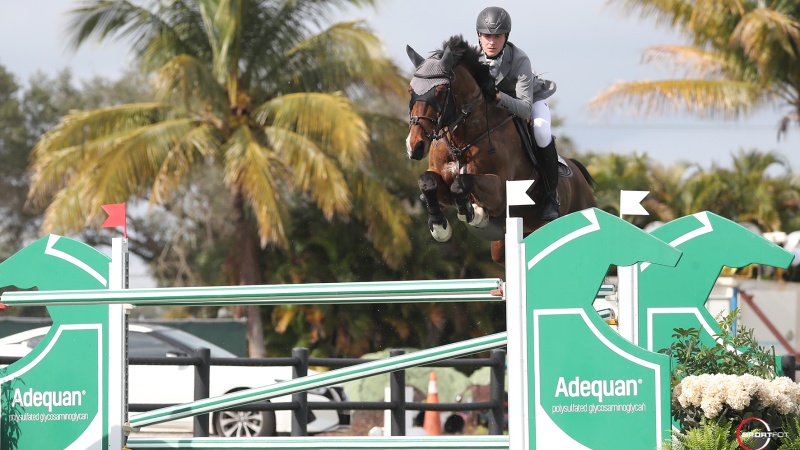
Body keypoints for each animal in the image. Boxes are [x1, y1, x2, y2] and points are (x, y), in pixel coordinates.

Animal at [406, 37, 592, 266]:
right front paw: (440, 226)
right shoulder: (441, 180)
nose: (415, 146)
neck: (462, 139)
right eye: (411, 91)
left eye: (440, 91)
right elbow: (428, 181)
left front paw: (473, 212)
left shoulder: (500, 192)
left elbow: (462, 183)